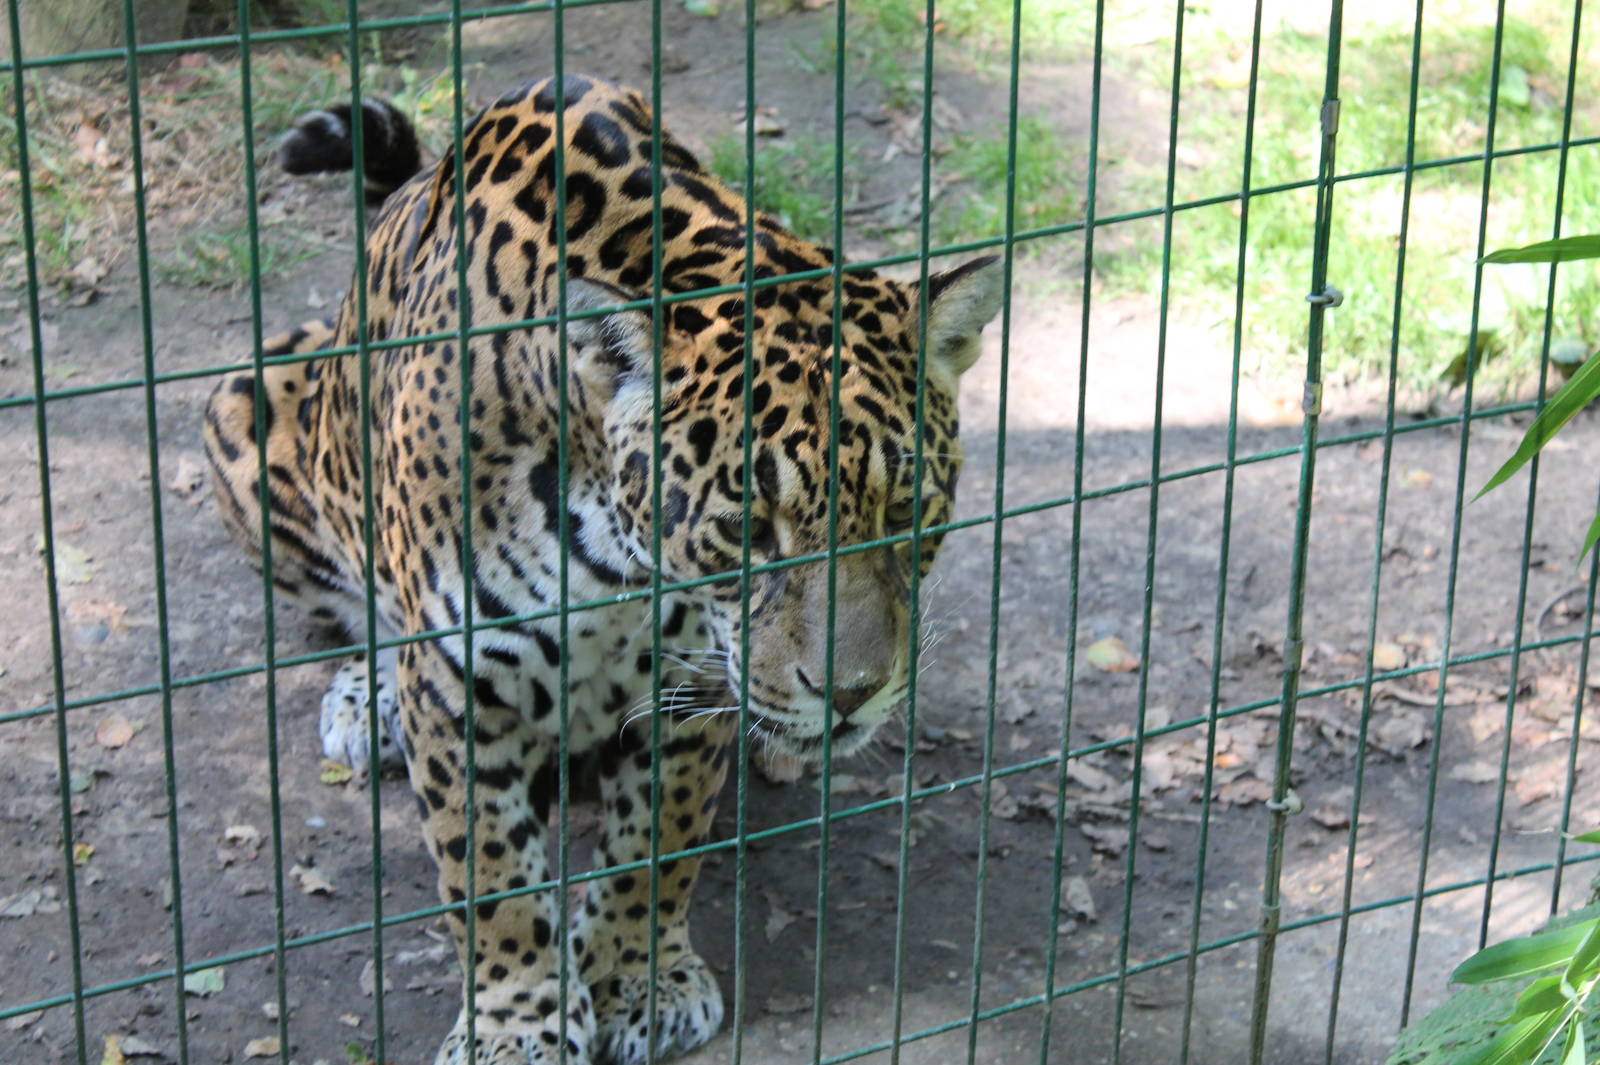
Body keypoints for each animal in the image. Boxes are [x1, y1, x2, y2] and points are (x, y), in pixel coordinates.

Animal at [203, 74, 1003, 1065]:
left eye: (903, 511)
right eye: (749, 529)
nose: (853, 693)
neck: (617, 561)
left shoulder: (693, 681)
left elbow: (658, 841)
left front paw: (633, 979)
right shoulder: (461, 686)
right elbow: (490, 872)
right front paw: (517, 1022)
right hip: (252, 401)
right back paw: (366, 697)